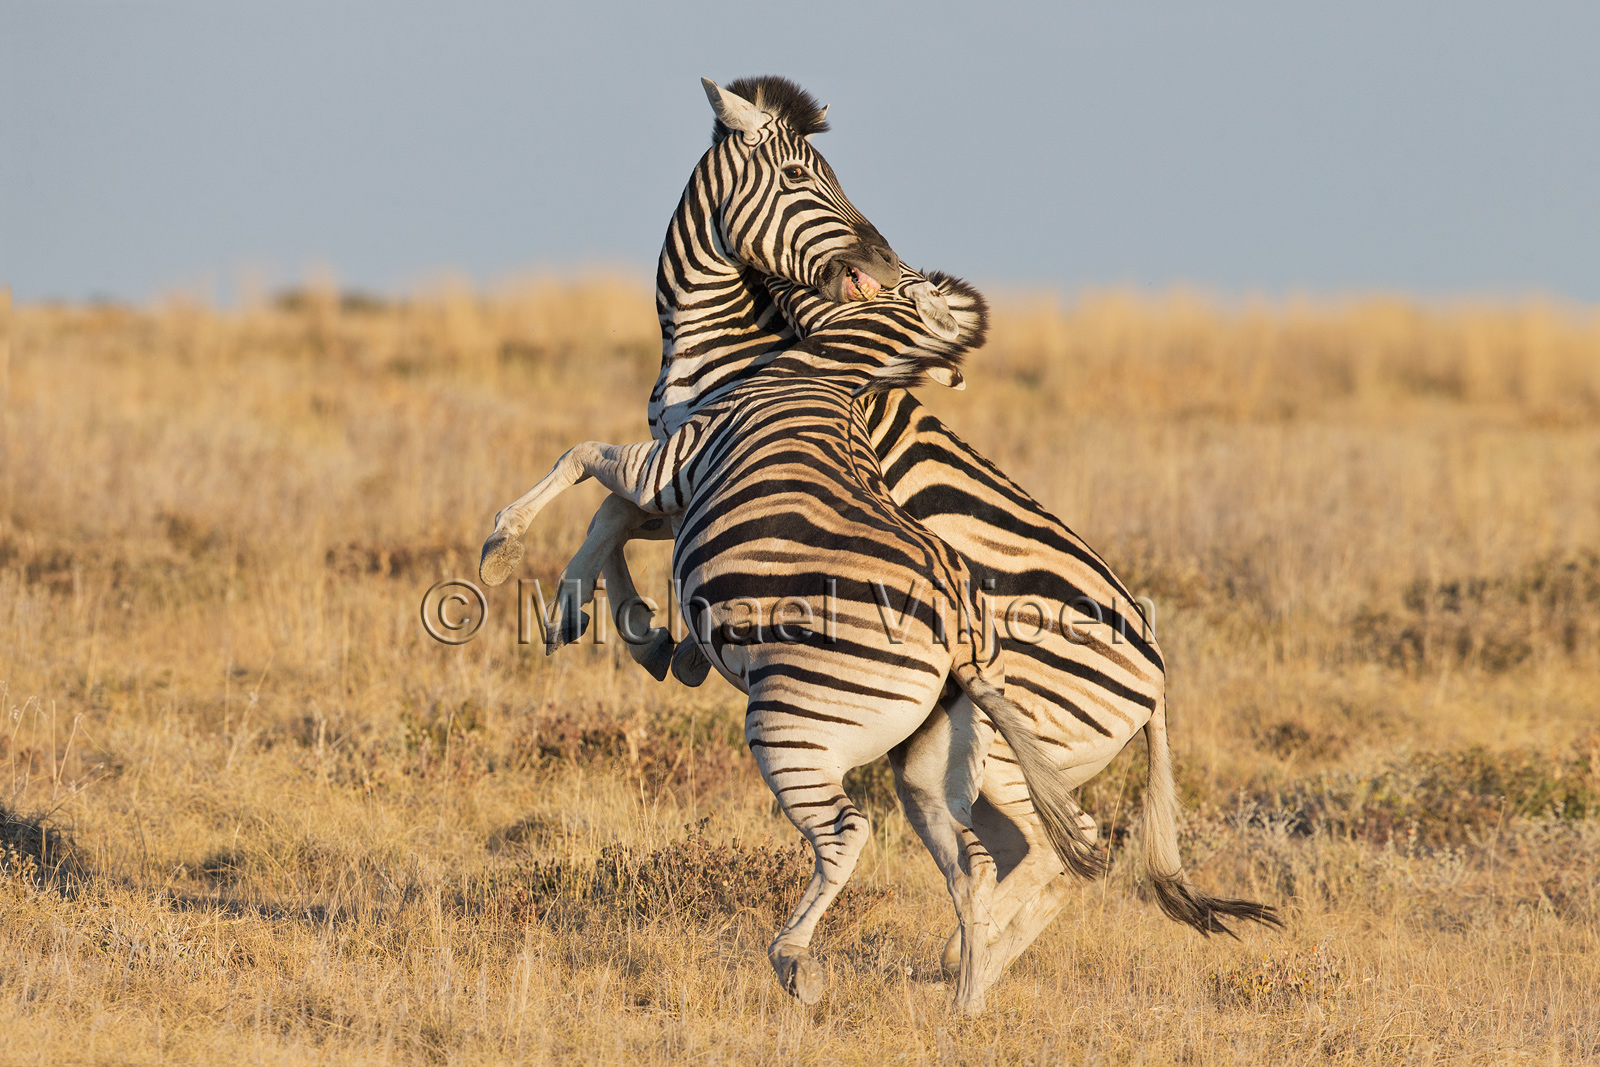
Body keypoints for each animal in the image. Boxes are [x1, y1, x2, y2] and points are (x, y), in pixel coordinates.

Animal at [481, 266, 1095, 1014]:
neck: (820, 375)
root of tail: (963, 642)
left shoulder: (669, 463)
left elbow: (583, 462)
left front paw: (507, 545)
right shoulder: (671, 483)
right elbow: (612, 514)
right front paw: (626, 627)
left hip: (792, 727)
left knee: (846, 832)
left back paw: (795, 960)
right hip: (930, 759)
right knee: (970, 863)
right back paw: (965, 1003)